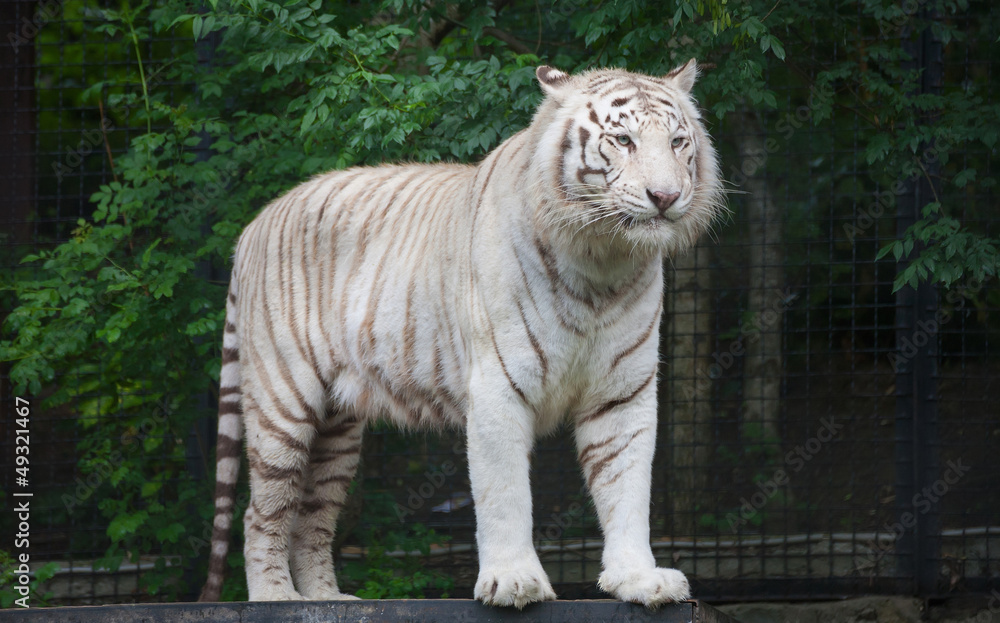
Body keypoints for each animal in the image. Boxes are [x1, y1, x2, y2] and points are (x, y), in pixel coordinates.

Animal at [198, 59, 723, 608]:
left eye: (679, 142)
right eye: (622, 140)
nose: (665, 197)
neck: (603, 262)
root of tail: (256, 222)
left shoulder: (622, 392)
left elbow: (627, 488)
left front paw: (639, 578)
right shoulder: (499, 385)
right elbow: (504, 493)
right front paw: (513, 580)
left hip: (337, 429)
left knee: (312, 518)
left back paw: (327, 600)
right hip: (283, 402)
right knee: (261, 512)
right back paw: (275, 597)